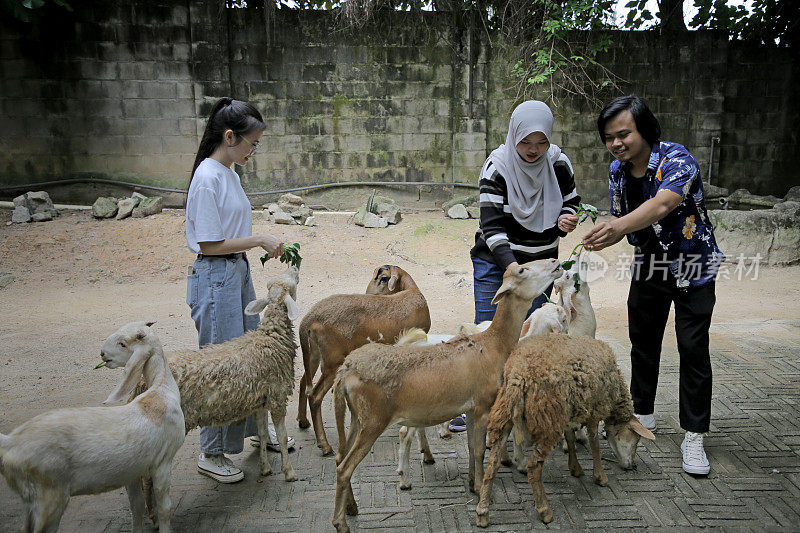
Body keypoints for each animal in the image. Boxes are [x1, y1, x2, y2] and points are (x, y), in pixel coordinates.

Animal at [0, 320, 183, 532]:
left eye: (123, 344)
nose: (102, 354)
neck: (161, 389)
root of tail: (10, 443)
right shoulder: (163, 462)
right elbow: (165, 508)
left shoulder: (133, 472)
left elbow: (136, 507)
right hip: (49, 496)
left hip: (32, 500)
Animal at [296, 264, 428, 456]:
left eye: (383, 278)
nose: (369, 293)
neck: (410, 291)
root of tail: (308, 319)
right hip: (333, 360)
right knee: (314, 396)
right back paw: (325, 445)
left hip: (314, 353)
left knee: (303, 382)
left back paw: (302, 421)